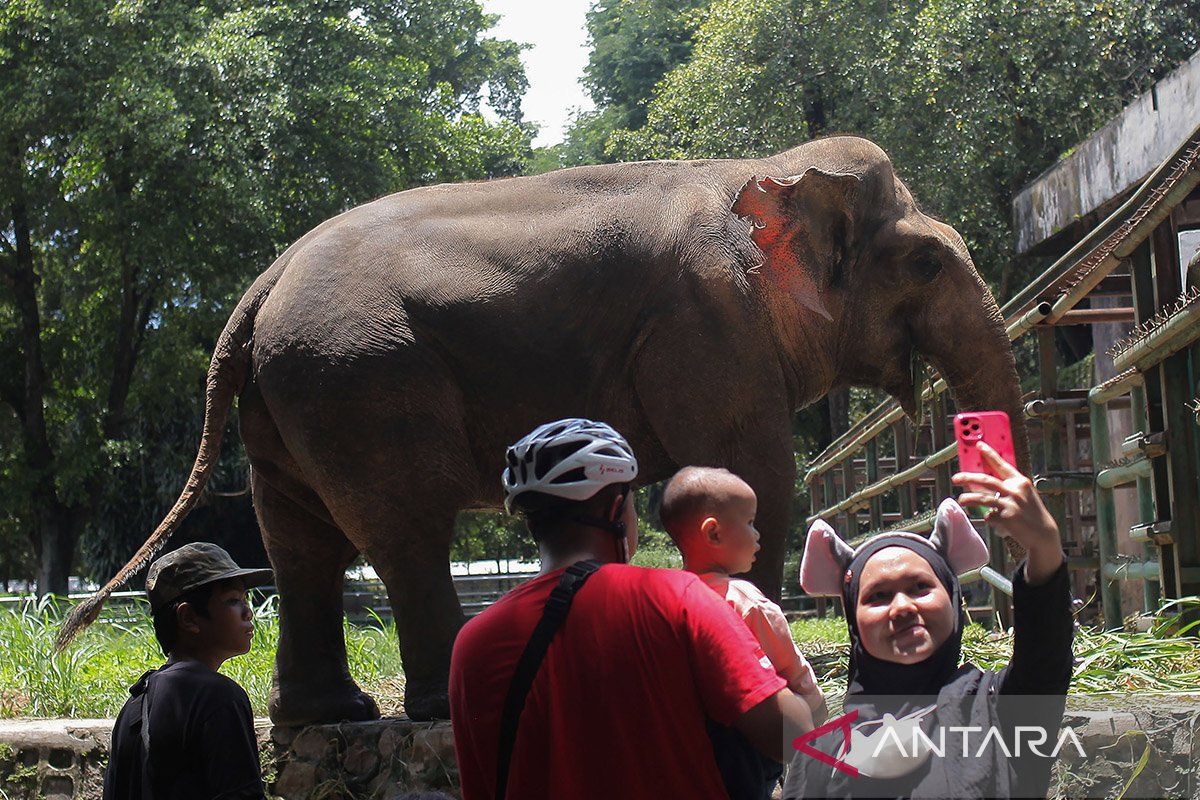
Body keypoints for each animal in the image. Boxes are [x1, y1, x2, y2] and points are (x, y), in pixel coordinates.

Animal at [60, 137, 1027, 724]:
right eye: (926, 261)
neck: (766, 167)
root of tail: (259, 288)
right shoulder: (707, 329)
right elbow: (746, 470)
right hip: (359, 379)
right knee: (401, 529)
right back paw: (436, 709)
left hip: (289, 399)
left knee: (299, 539)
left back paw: (331, 716)